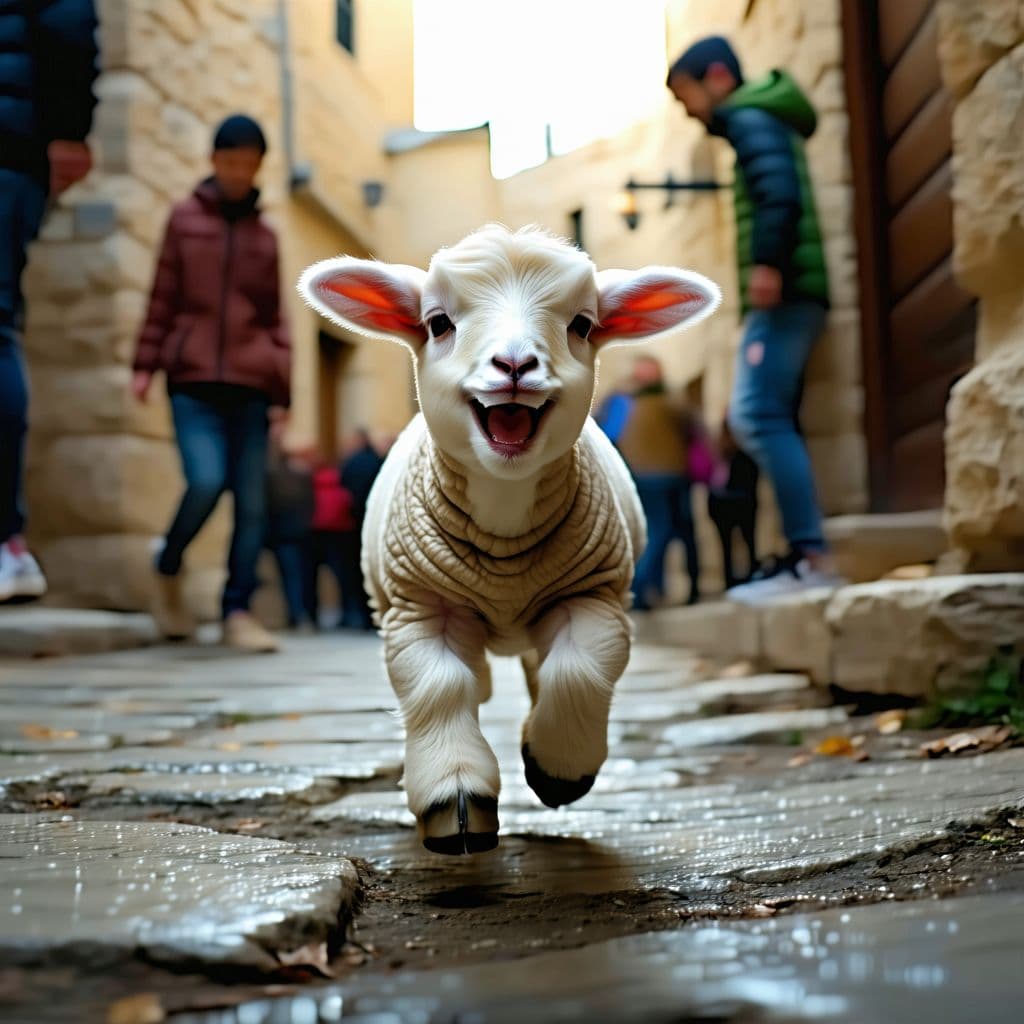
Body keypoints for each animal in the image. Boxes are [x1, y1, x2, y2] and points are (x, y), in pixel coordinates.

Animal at [299, 225, 719, 855]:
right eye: (438, 323)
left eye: (583, 325)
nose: (515, 363)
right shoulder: (420, 607)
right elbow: (439, 686)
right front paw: (454, 797)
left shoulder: (594, 595)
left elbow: (578, 671)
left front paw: (558, 769)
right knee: (473, 681)